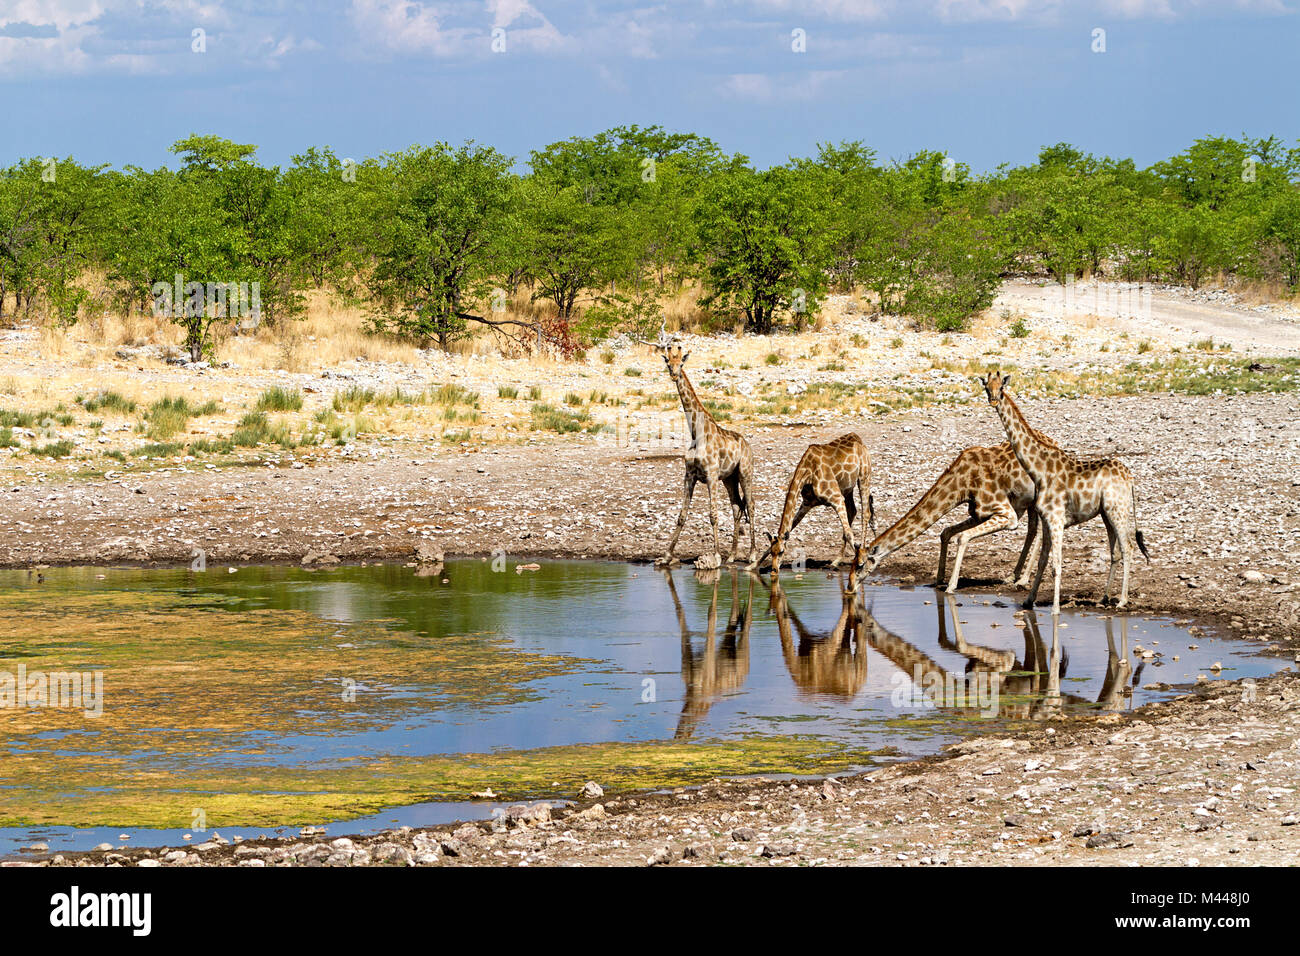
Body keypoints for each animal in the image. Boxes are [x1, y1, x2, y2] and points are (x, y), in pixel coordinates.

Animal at [651, 332, 758, 567]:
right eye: (668, 363)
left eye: (681, 363)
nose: (674, 375)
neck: (696, 432)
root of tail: (747, 445)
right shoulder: (690, 475)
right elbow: (681, 515)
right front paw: (666, 556)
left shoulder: (710, 475)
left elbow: (713, 515)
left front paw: (715, 555)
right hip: (729, 478)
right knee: (737, 507)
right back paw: (732, 555)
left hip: (745, 472)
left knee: (750, 505)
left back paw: (752, 555)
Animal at [748, 433, 874, 575]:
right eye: (772, 552)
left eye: (781, 552)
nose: (774, 570)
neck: (808, 472)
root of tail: (858, 439)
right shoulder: (807, 504)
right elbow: (790, 527)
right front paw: (752, 565)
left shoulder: (836, 498)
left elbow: (849, 533)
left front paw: (863, 563)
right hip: (847, 488)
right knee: (852, 510)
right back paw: (836, 561)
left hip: (864, 476)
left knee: (865, 513)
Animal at [859, 441, 1056, 593]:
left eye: (860, 565)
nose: (853, 585)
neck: (962, 484)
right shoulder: (978, 513)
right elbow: (946, 532)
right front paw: (939, 579)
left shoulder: (1007, 514)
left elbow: (962, 537)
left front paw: (951, 586)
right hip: (1029, 502)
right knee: (1033, 530)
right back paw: (1012, 577)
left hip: (1040, 497)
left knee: (1040, 532)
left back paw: (1022, 580)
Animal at [981, 370, 1149, 614]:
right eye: (987, 387)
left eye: (1001, 388)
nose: (993, 400)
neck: (1038, 470)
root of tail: (1130, 478)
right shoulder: (1046, 519)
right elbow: (1043, 561)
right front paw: (1028, 601)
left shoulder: (1057, 519)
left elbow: (1056, 565)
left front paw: (1055, 609)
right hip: (1106, 513)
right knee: (1115, 552)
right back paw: (1104, 598)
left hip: (1118, 510)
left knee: (1127, 547)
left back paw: (1122, 600)